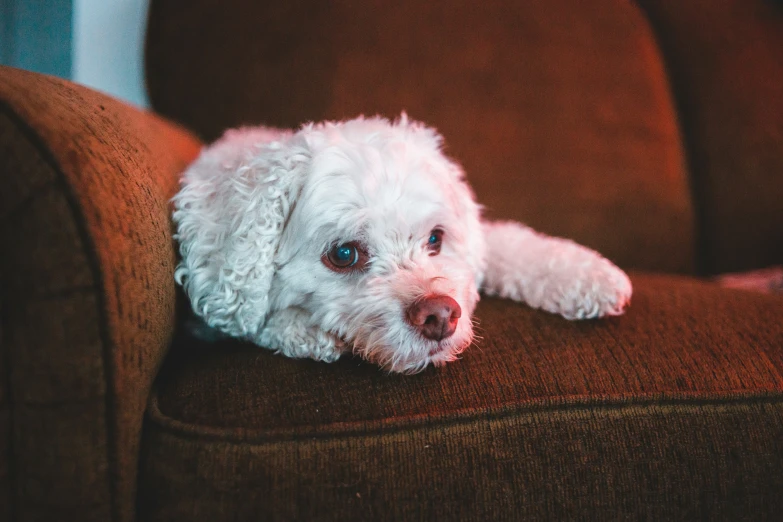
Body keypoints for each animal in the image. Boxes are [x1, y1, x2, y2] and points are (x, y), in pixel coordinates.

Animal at [172, 116, 632, 372]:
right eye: (344, 254)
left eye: (436, 239)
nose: (441, 315)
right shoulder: (212, 305)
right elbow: (252, 321)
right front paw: (302, 331)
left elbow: (508, 244)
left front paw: (589, 275)